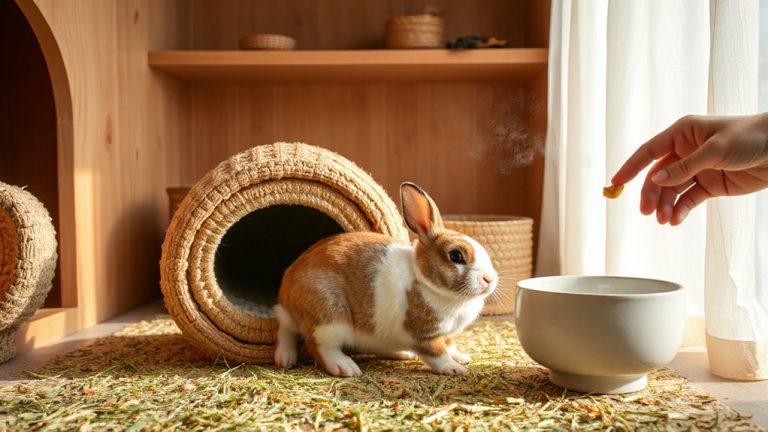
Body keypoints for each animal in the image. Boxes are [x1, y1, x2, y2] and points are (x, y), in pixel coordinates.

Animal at [273, 182, 498, 377]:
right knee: (319, 346)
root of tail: (288, 286)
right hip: (330, 318)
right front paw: (454, 369)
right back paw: (345, 368)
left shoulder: (446, 334)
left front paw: (461, 357)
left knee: (286, 328)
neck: (424, 280)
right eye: (456, 256)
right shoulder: (423, 334)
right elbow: (437, 353)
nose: (489, 279)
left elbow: (449, 345)